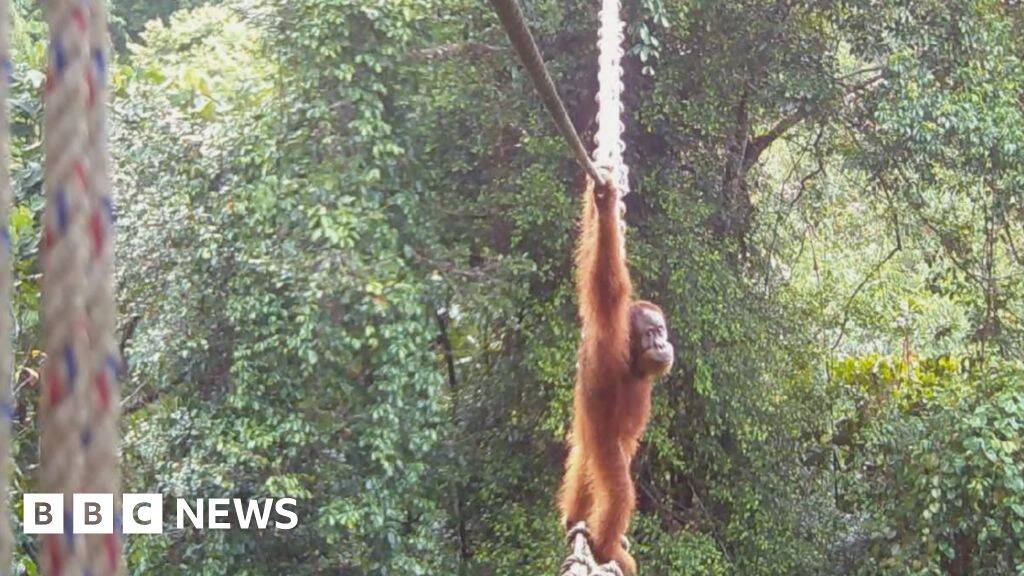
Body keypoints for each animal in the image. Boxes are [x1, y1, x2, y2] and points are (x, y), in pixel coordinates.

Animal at [557, 172, 673, 575]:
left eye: (662, 331)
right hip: (603, 445)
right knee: (619, 490)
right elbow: (606, 279)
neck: (633, 361)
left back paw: (575, 522)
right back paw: (605, 547)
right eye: (651, 333)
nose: (663, 343)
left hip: (587, 439)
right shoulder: (610, 330)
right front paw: (606, 205)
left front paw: (601, 203)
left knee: (582, 465)